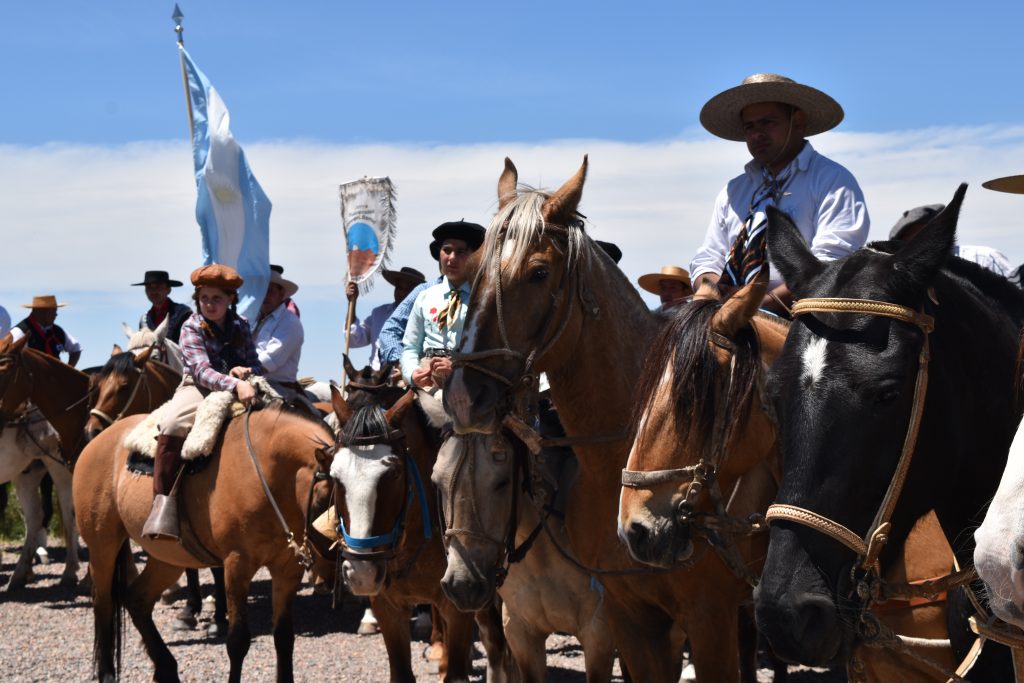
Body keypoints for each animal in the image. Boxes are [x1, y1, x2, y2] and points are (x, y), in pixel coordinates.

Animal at [74, 401, 335, 683]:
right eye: (324, 499)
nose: (332, 574)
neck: (266, 473)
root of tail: (98, 440)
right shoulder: (237, 565)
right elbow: (238, 641)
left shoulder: (287, 569)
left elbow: (284, 638)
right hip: (103, 546)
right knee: (103, 604)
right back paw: (107, 674)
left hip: (167, 558)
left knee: (136, 600)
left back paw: (167, 669)